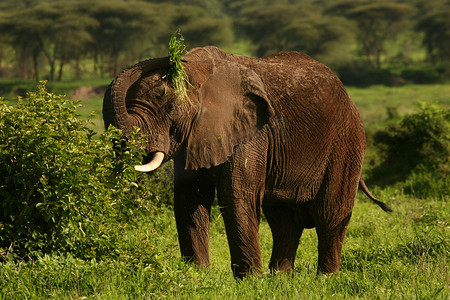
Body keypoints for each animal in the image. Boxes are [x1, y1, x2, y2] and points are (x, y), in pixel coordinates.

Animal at [103, 45, 390, 278]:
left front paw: (249, 281)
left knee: (330, 214)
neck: (202, 74)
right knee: (284, 222)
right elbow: (189, 199)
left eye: (170, 109)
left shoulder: (251, 134)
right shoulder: (196, 136)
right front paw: (197, 276)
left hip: (346, 142)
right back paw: (280, 280)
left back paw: (325, 279)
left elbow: (238, 195)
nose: (174, 56)